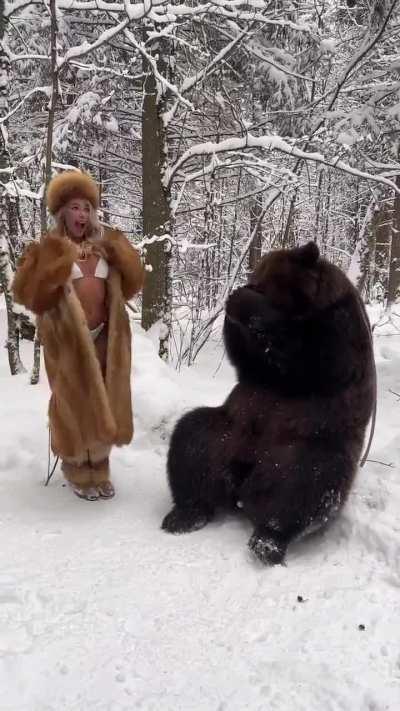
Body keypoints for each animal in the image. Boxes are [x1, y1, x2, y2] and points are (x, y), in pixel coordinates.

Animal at [162, 242, 376, 565]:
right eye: (257, 275)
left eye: (267, 281)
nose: (248, 285)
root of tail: (243, 478)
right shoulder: (259, 375)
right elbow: (251, 363)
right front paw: (234, 303)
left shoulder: (338, 328)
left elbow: (315, 363)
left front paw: (246, 303)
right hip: (228, 432)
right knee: (192, 440)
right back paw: (186, 513)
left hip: (303, 444)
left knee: (309, 481)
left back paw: (269, 539)